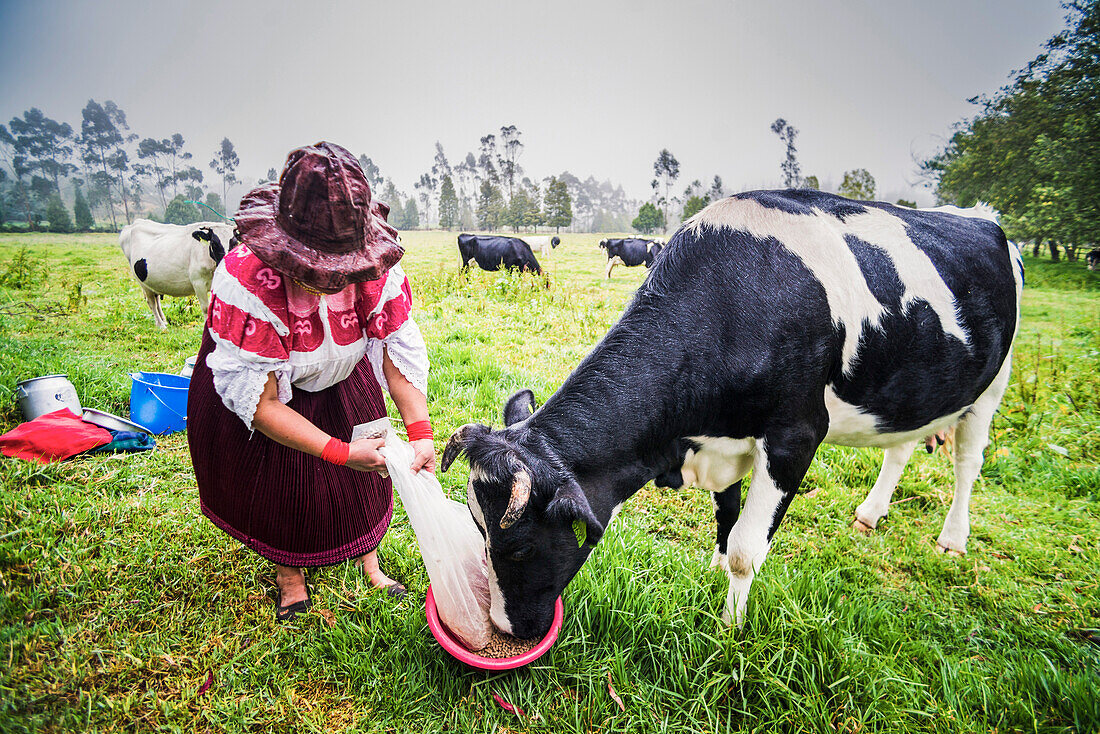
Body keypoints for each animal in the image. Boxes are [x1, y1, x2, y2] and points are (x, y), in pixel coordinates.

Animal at [440, 189, 1020, 638]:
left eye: (517, 548)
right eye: (476, 528)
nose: (505, 629)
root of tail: (985, 218)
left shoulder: (794, 436)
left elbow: (745, 547)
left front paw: (730, 628)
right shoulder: (722, 439)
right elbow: (725, 516)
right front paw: (712, 575)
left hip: (992, 386)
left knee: (968, 463)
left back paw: (953, 539)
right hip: (914, 391)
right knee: (899, 447)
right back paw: (871, 513)